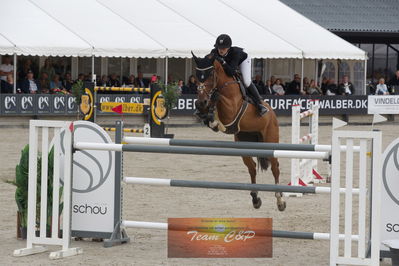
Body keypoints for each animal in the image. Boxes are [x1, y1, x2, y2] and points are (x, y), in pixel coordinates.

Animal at [192, 52, 286, 211]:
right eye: (197, 75)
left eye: (210, 74)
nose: (201, 102)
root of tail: (272, 113)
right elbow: (209, 114)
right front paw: (209, 117)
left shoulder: (231, 110)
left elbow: (218, 98)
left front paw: (214, 115)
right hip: (244, 143)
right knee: (252, 168)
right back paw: (255, 198)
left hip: (270, 141)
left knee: (275, 168)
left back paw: (280, 201)